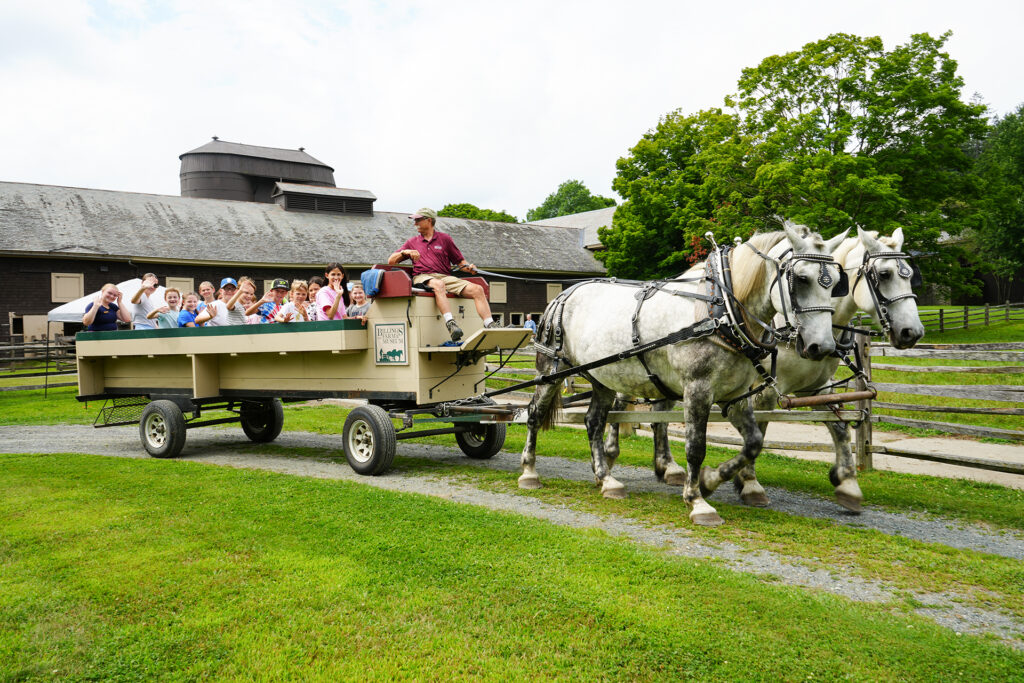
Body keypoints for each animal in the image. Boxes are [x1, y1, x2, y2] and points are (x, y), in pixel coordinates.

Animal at [520, 222, 847, 528]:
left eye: (835, 283)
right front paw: (697, 500)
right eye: (801, 278)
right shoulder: (697, 389)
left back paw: (606, 479)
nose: (823, 346)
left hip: (602, 378)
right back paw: (529, 472)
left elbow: (753, 442)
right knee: (535, 414)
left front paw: (713, 479)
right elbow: (695, 447)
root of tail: (565, 293)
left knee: (594, 421)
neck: (722, 310)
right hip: (551, 369)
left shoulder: (736, 395)